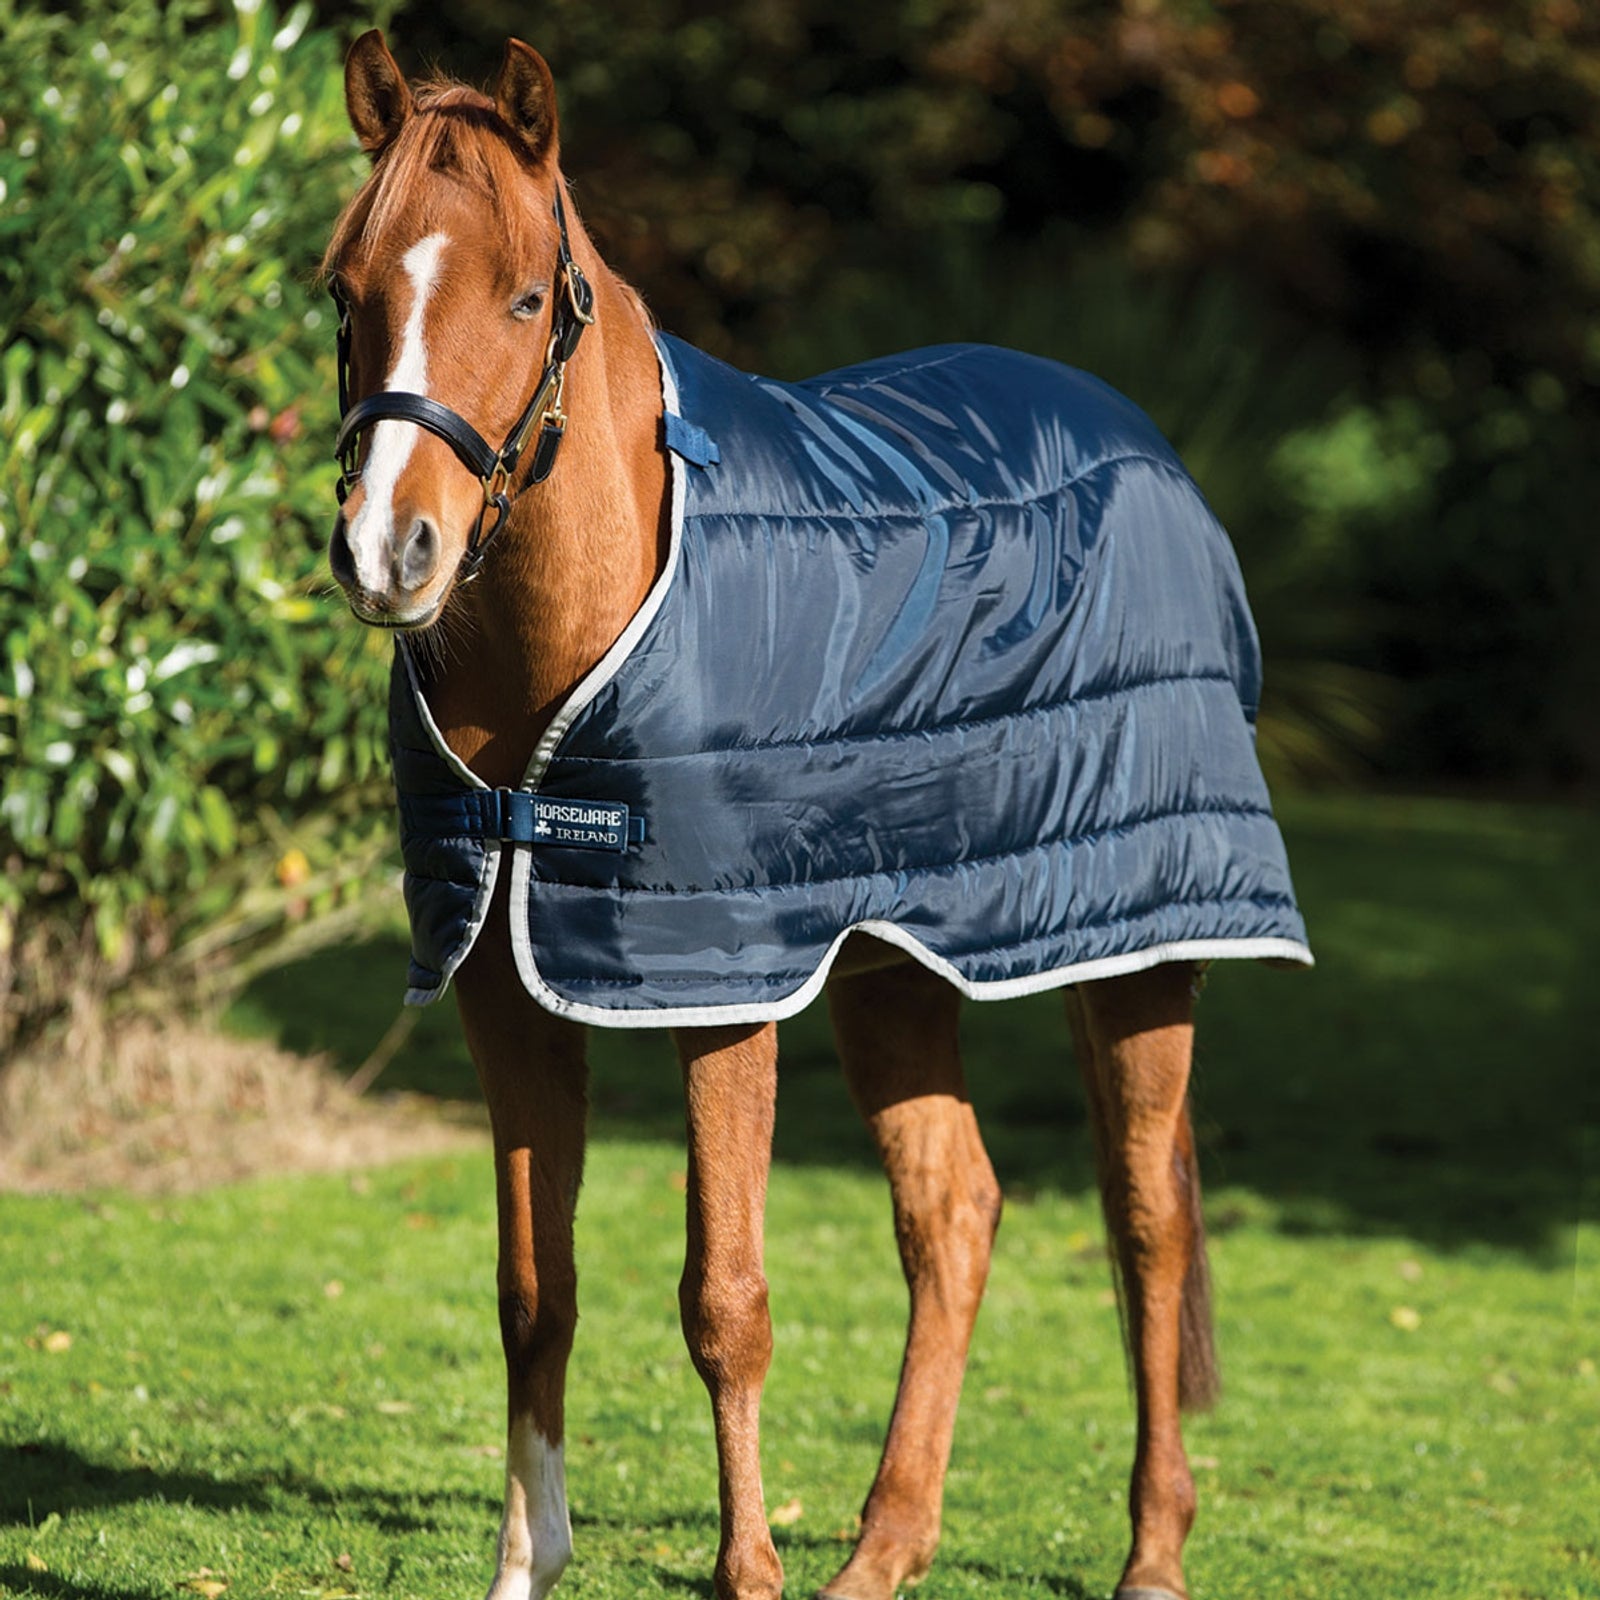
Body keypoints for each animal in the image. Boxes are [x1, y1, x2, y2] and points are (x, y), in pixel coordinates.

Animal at [322, 31, 1310, 1600]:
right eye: (343, 292)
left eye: (526, 295)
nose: (387, 551)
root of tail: (1141, 441)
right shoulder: (506, 976)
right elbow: (536, 1289)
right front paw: (529, 1563)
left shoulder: (721, 991)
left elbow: (724, 1299)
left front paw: (746, 1574)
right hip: (893, 965)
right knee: (953, 1213)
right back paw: (885, 1547)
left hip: (1145, 943)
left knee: (1147, 1217)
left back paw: (1152, 1550)